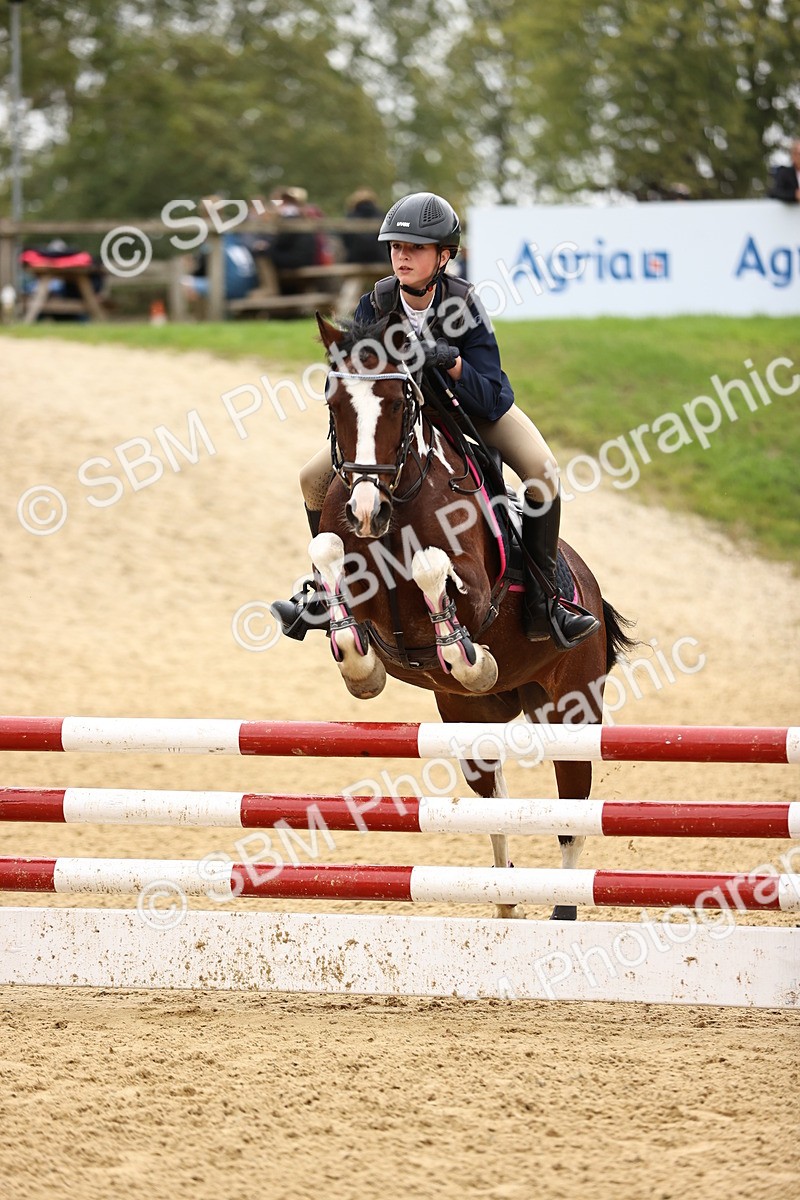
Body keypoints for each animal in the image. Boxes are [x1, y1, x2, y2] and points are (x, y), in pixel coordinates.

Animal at [303, 312, 634, 919]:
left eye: (398, 401)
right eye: (334, 401)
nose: (366, 511)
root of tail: (591, 591)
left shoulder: (479, 596)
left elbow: (434, 574)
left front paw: (472, 658)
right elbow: (330, 557)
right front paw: (362, 670)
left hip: (572, 711)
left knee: (572, 811)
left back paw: (564, 910)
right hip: (469, 717)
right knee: (493, 806)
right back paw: (504, 904)